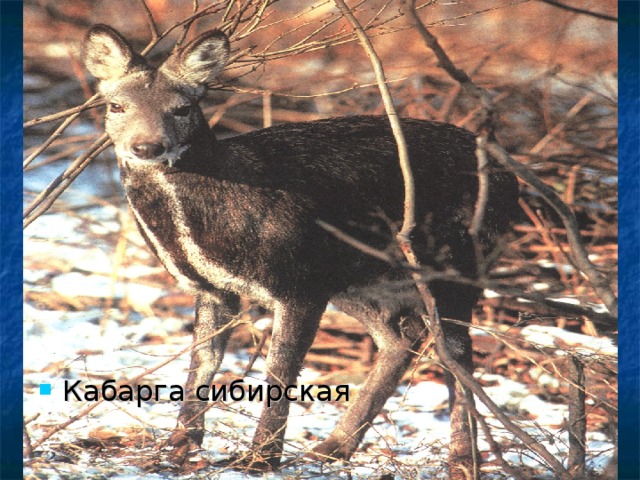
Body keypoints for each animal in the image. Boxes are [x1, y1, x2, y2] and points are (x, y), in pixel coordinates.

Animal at [81, 25, 520, 476]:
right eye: (116, 106)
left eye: (182, 108)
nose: (147, 147)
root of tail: (511, 177)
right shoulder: (215, 289)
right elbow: (201, 364)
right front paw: (178, 449)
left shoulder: (298, 284)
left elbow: (279, 371)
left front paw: (259, 459)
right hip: (355, 280)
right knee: (403, 338)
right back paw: (330, 448)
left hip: (457, 263)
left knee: (457, 360)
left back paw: (462, 463)